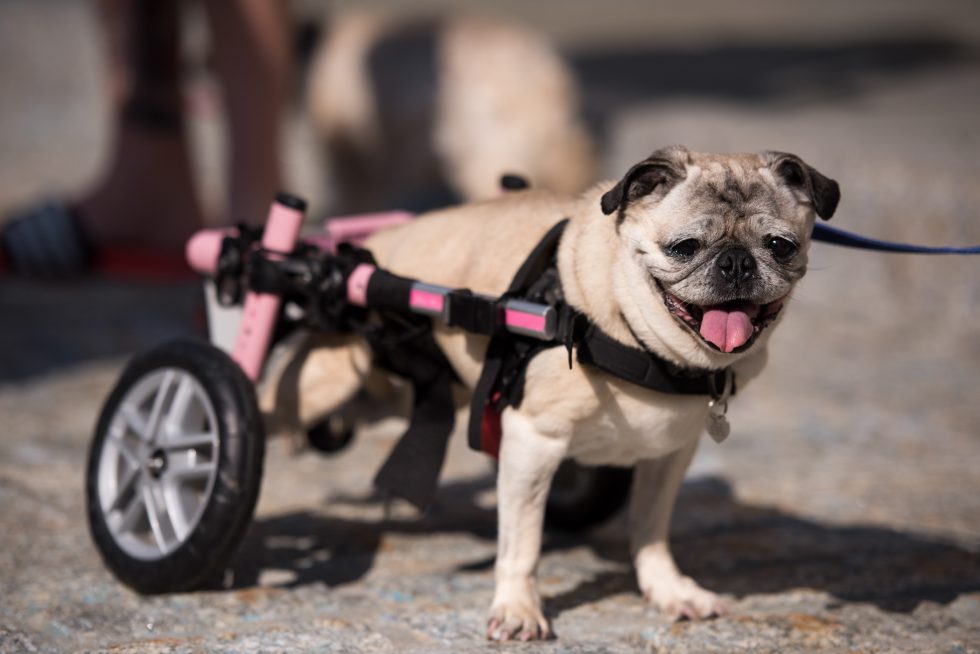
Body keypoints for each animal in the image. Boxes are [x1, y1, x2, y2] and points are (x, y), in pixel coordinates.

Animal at [268, 146, 836, 644]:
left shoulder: (669, 453)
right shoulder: (532, 442)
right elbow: (522, 545)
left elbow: (651, 528)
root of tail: (374, 242)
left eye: (781, 246)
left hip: (402, 390)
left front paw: (669, 590)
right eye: (684, 247)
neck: (634, 332)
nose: (736, 262)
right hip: (327, 379)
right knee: (270, 404)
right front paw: (519, 611)